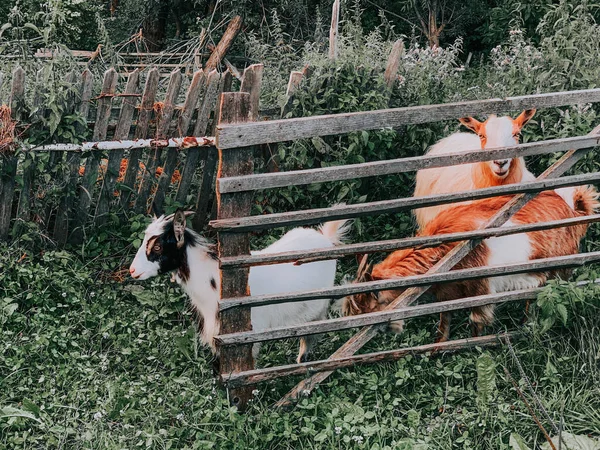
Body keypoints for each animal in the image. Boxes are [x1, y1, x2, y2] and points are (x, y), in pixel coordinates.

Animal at [129, 210, 350, 362]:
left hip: (317, 307)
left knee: (310, 337)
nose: (132, 270)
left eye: (158, 246)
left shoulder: (246, 334)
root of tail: (326, 238)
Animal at [344, 186, 596, 342]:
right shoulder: (446, 291)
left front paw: (475, 348)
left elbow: (477, 320)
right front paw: (436, 350)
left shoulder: (479, 287)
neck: (444, 250)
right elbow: (443, 321)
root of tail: (575, 210)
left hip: (560, 269)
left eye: (370, 306)